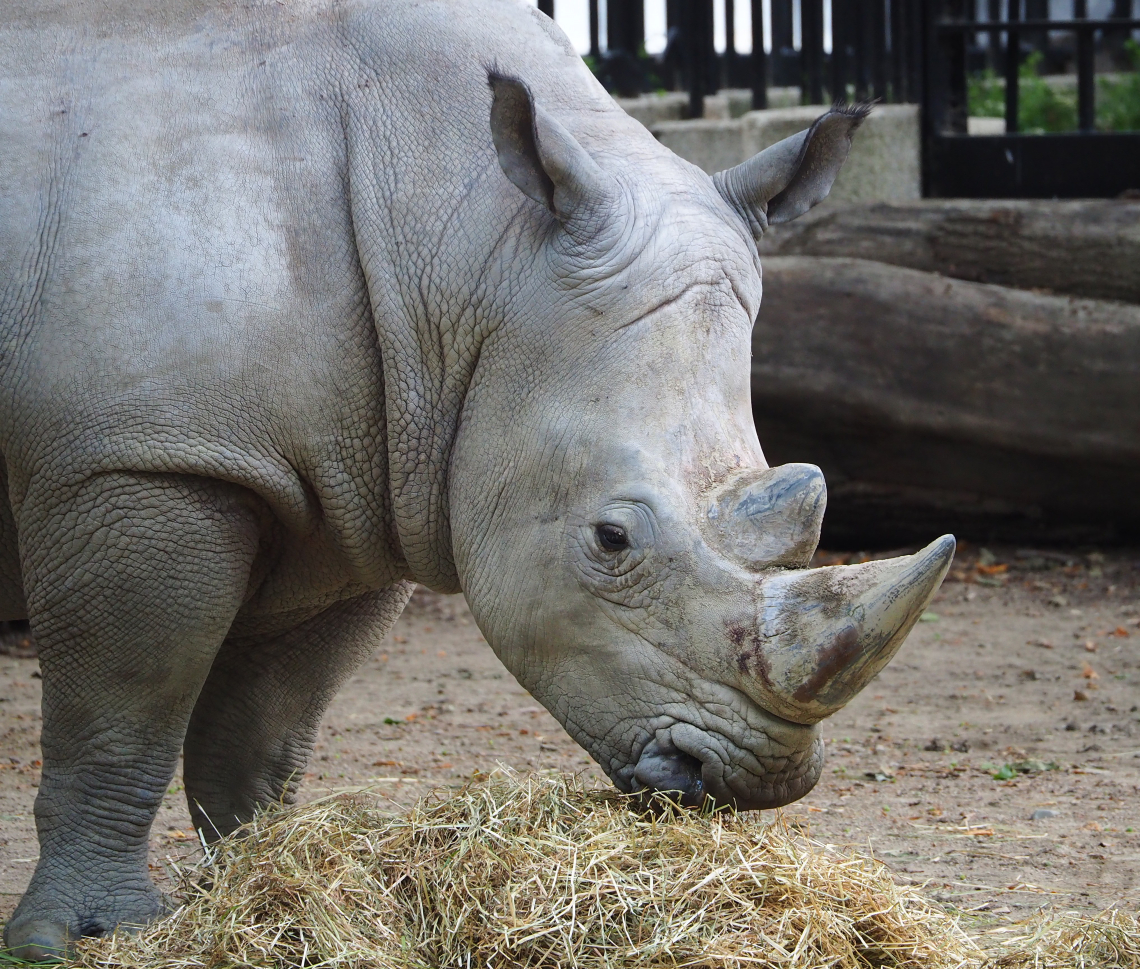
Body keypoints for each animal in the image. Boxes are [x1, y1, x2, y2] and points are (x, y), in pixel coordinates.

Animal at [0, 0, 953, 958]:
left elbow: (263, 726)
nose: (754, 777)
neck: (473, 248)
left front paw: (261, 881)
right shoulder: (141, 457)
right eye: (611, 539)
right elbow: (122, 711)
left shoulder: (351, 491)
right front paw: (88, 937)